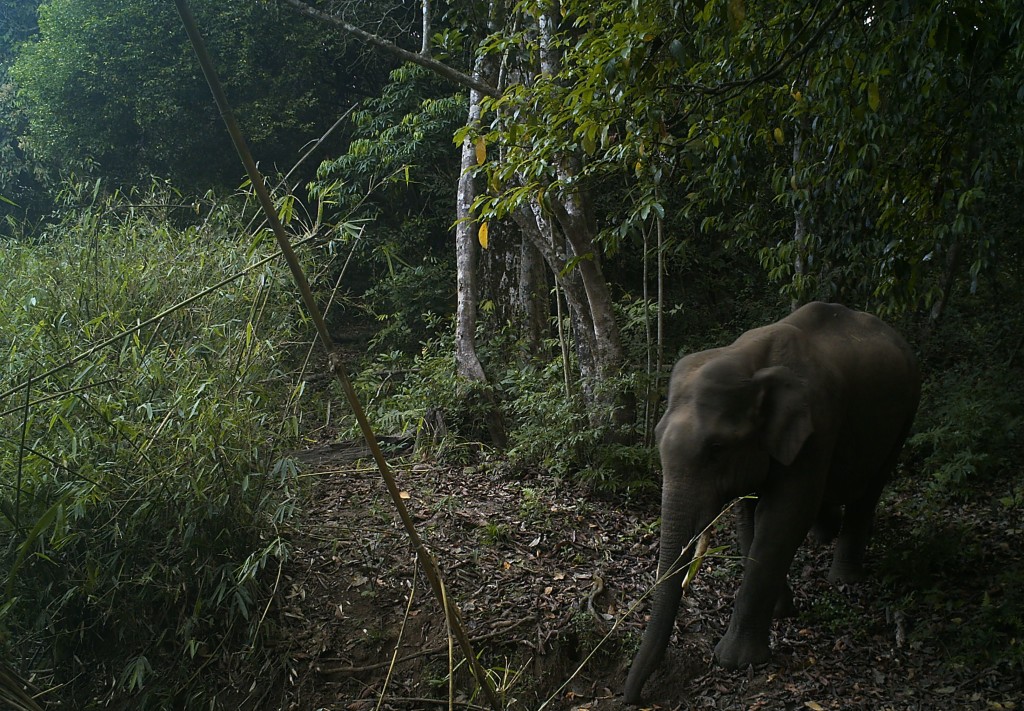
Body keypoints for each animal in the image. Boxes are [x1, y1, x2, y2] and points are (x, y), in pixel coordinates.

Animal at [623, 301, 920, 704]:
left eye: (716, 448)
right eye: (655, 437)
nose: (635, 698)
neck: (748, 360)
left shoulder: (817, 427)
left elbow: (783, 516)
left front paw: (734, 661)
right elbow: (749, 516)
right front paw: (782, 610)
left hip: (907, 410)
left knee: (871, 489)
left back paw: (844, 577)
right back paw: (823, 538)